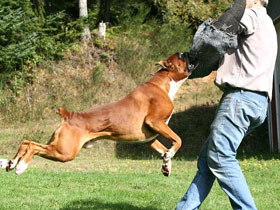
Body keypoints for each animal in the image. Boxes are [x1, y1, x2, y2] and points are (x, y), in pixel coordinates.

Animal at [3, 52, 192, 176]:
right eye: (181, 57)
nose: (187, 52)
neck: (164, 82)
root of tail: (68, 114)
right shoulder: (156, 122)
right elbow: (178, 140)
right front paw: (170, 155)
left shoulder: (149, 137)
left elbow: (164, 149)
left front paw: (166, 164)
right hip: (64, 152)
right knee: (33, 146)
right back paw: (20, 167)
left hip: (59, 147)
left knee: (27, 142)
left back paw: (11, 163)